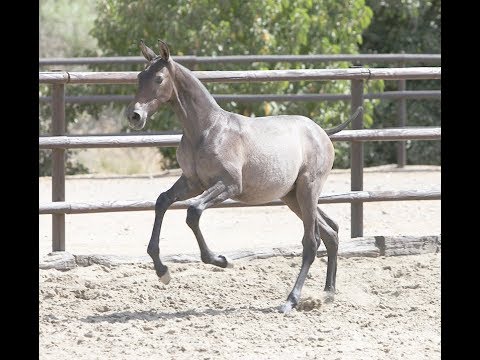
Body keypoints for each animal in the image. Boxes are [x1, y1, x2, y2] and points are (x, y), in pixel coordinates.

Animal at [125, 40, 362, 314]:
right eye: (139, 77)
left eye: (159, 79)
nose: (134, 116)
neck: (207, 130)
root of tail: (321, 132)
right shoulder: (192, 182)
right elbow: (162, 201)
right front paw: (162, 270)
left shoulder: (229, 185)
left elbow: (193, 212)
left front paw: (220, 260)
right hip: (293, 197)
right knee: (330, 233)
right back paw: (328, 293)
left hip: (308, 189)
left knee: (312, 243)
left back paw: (290, 301)